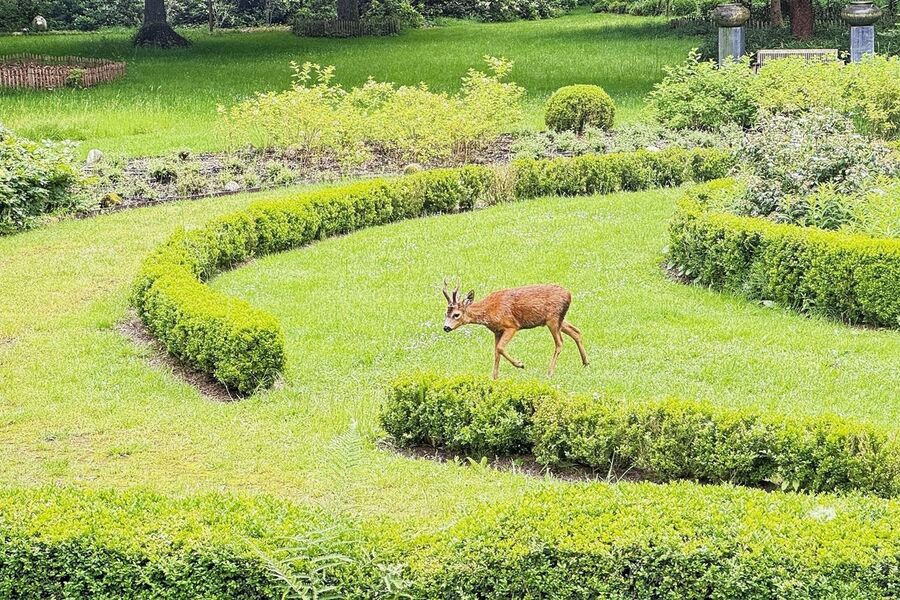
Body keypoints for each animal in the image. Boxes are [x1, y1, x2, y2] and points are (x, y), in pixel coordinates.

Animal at [442, 278, 592, 378]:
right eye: (445, 314)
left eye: (456, 314)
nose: (446, 327)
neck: (489, 310)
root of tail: (569, 295)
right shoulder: (497, 331)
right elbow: (496, 352)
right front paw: (494, 377)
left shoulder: (511, 325)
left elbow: (500, 348)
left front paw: (520, 364)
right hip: (558, 319)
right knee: (576, 331)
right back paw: (586, 362)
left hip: (553, 319)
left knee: (560, 342)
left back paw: (549, 373)